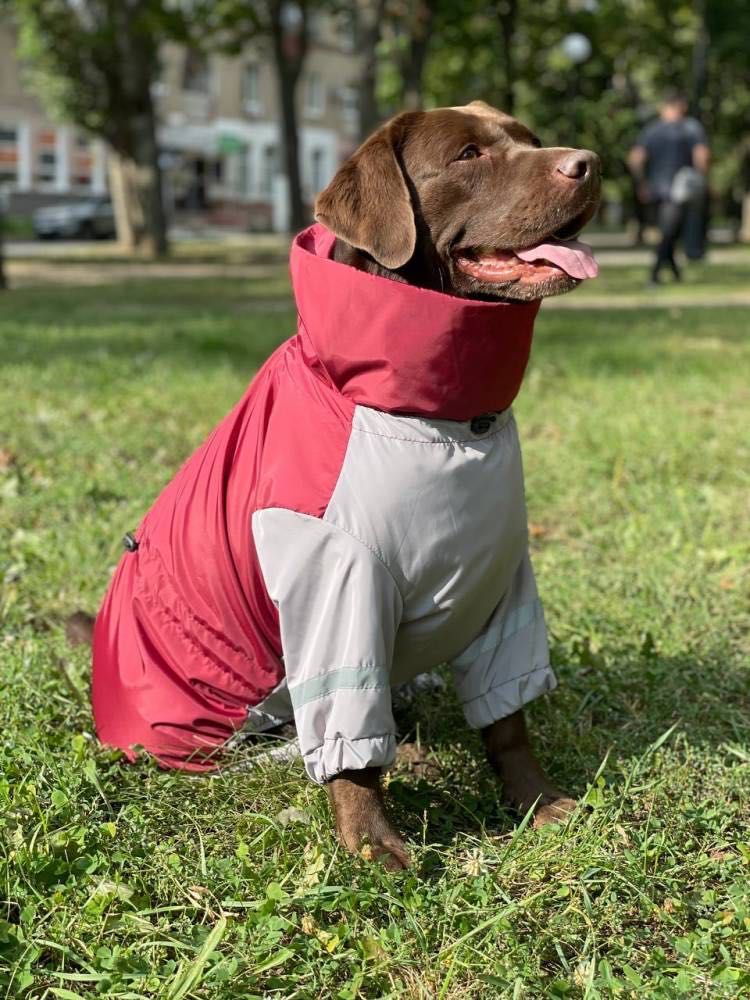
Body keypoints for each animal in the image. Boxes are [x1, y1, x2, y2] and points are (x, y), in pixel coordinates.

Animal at [314, 101, 604, 868]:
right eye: (469, 154)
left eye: (531, 140)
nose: (591, 162)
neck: (448, 420)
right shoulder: (340, 580)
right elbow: (351, 740)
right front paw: (373, 842)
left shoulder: (502, 576)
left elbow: (508, 718)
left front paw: (536, 798)